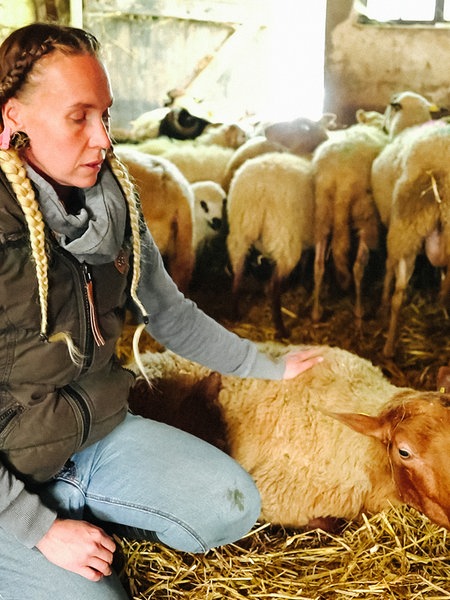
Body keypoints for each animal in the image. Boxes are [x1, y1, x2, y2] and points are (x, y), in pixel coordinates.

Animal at [227, 152, 314, 340]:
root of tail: (261, 188)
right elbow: (305, 261)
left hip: (240, 234)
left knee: (237, 274)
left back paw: (235, 314)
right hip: (285, 237)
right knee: (274, 286)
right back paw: (281, 330)